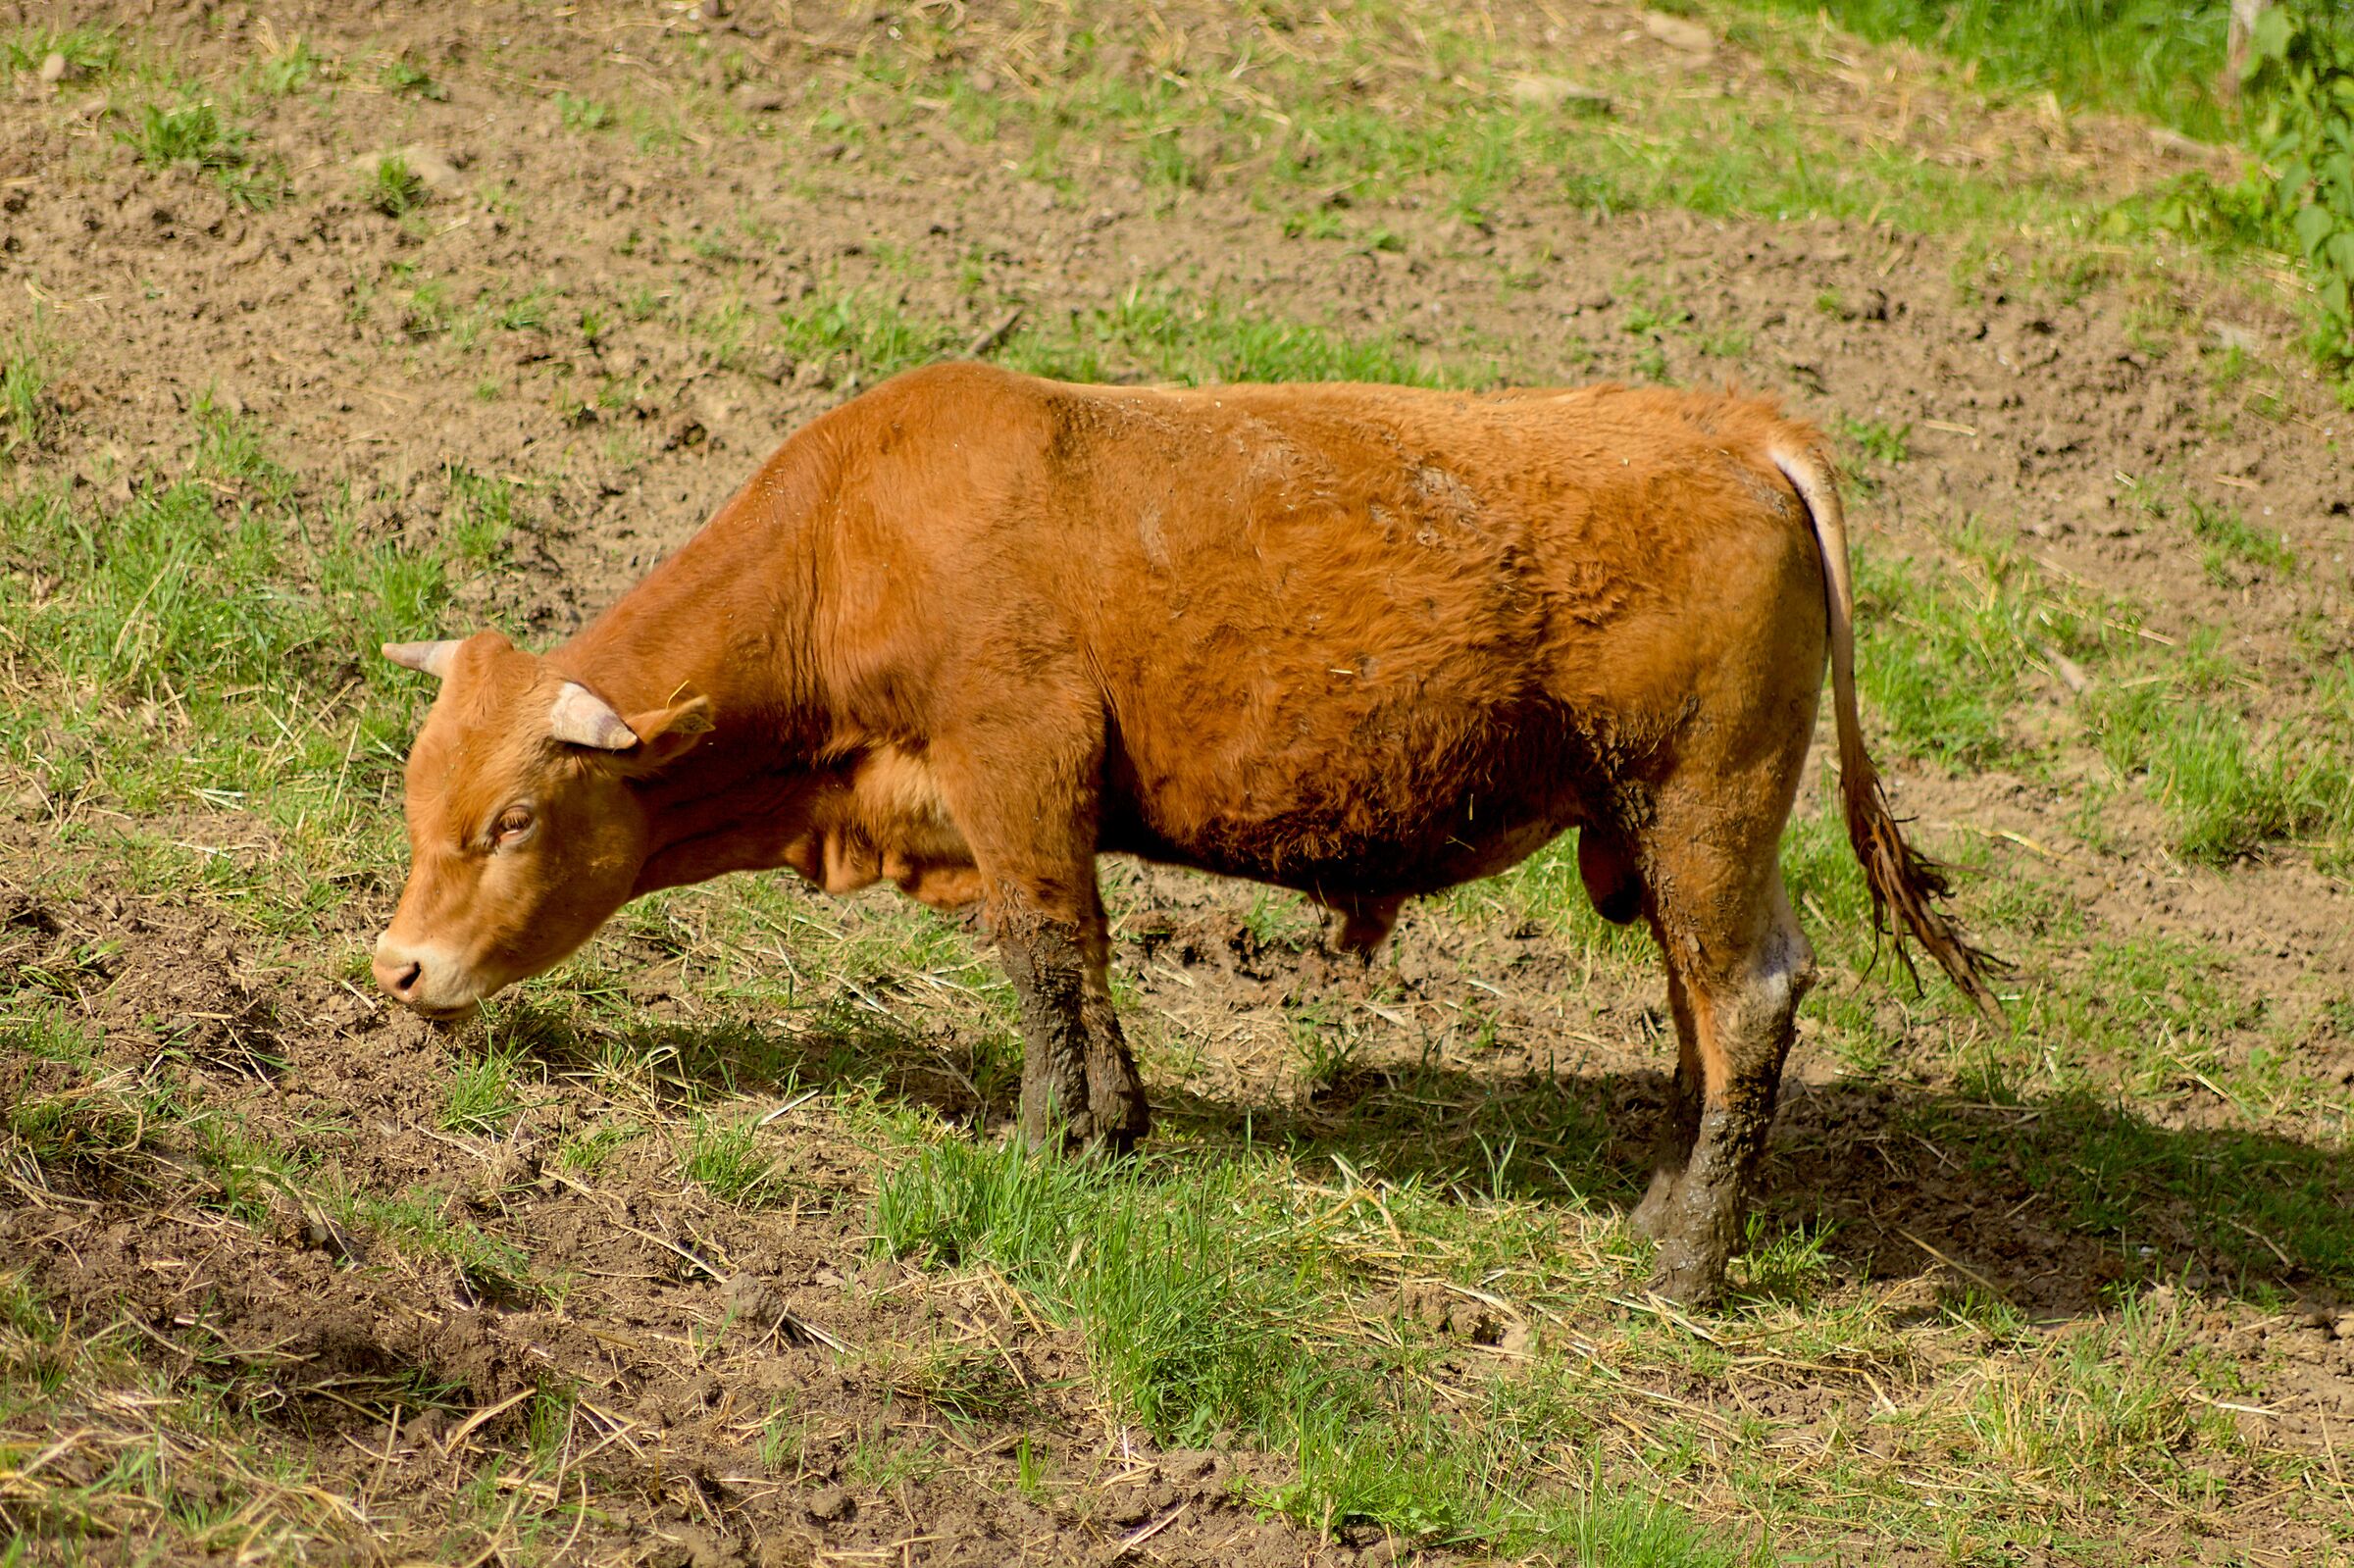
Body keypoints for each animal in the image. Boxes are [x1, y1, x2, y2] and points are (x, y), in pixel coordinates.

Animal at [370, 362, 1999, 1303]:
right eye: (415, 798)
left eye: (512, 817)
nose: (395, 968)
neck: (857, 533)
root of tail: (1732, 428)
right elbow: (1081, 968)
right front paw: (1118, 1121)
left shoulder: (1019, 766)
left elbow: (1048, 955)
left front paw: (1052, 1136)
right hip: (1661, 833)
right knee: (1701, 1014)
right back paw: (1667, 1198)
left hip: (1704, 806)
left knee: (1751, 997)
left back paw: (1683, 1261)